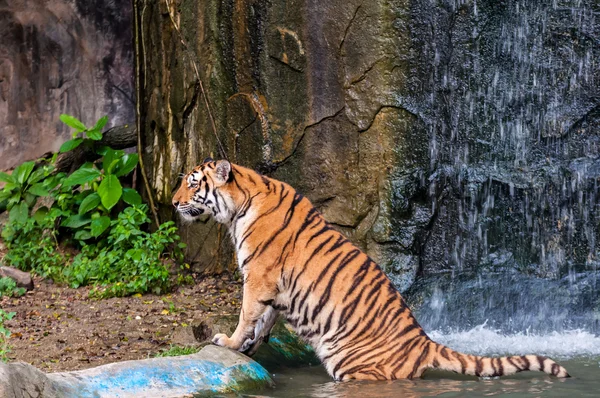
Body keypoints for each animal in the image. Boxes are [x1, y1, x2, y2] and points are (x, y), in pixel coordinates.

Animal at [171, 157, 568, 380]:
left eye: (192, 183)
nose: (173, 202)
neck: (238, 207)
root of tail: (424, 343)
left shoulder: (259, 278)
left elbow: (246, 315)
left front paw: (228, 341)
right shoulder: (273, 288)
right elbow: (264, 321)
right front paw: (248, 349)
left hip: (354, 367)